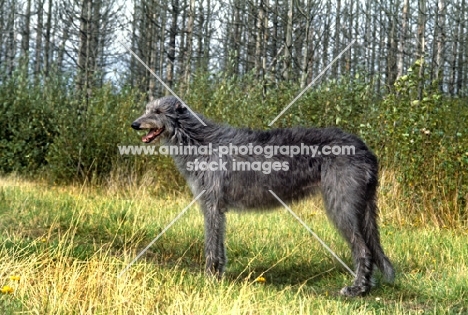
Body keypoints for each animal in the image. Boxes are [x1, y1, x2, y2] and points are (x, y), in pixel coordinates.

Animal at [131, 97, 394, 298]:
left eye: (157, 111)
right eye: (147, 108)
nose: (134, 124)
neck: (198, 140)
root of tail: (367, 151)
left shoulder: (211, 204)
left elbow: (210, 245)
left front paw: (208, 279)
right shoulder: (219, 209)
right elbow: (219, 243)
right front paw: (219, 276)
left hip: (341, 206)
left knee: (363, 250)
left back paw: (357, 289)